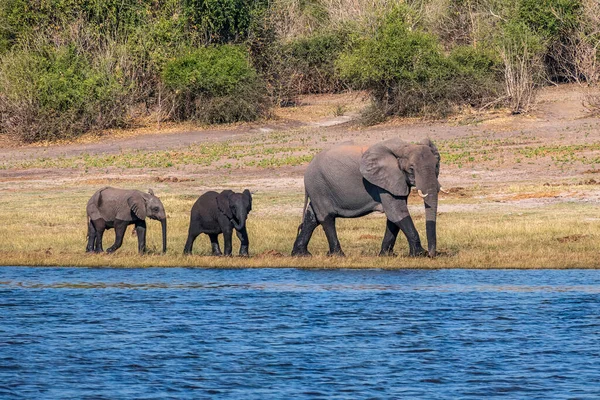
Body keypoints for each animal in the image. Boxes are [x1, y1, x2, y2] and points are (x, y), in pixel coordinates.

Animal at [292, 138, 442, 256]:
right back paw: (338, 255)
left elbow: (393, 216)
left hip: (318, 188)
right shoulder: (383, 181)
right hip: (318, 185)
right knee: (326, 218)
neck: (404, 146)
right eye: (411, 169)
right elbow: (397, 213)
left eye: (436, 165)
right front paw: (419, 254)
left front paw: (386, 255)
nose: (432, 254)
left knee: (312, 218)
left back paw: (301, 254)